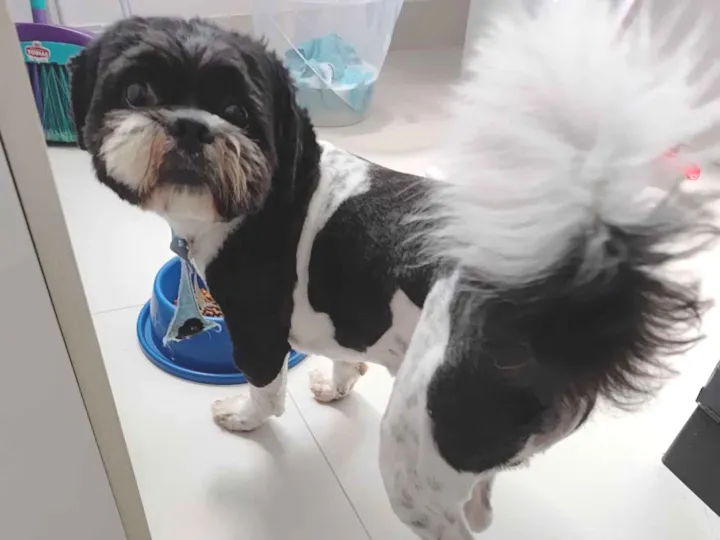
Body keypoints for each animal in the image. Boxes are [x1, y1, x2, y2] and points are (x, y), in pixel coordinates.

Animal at [70, 2, 720, 537]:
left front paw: (243, 415)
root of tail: (567, 298)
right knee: (482, 498)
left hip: (417, 452)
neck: (275, 185)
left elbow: (265, 389)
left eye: (237, 112)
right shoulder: (345, 314)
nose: (189, 124)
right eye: (136, 92)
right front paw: (337, 382)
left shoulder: (256, 327)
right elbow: (343, 351)